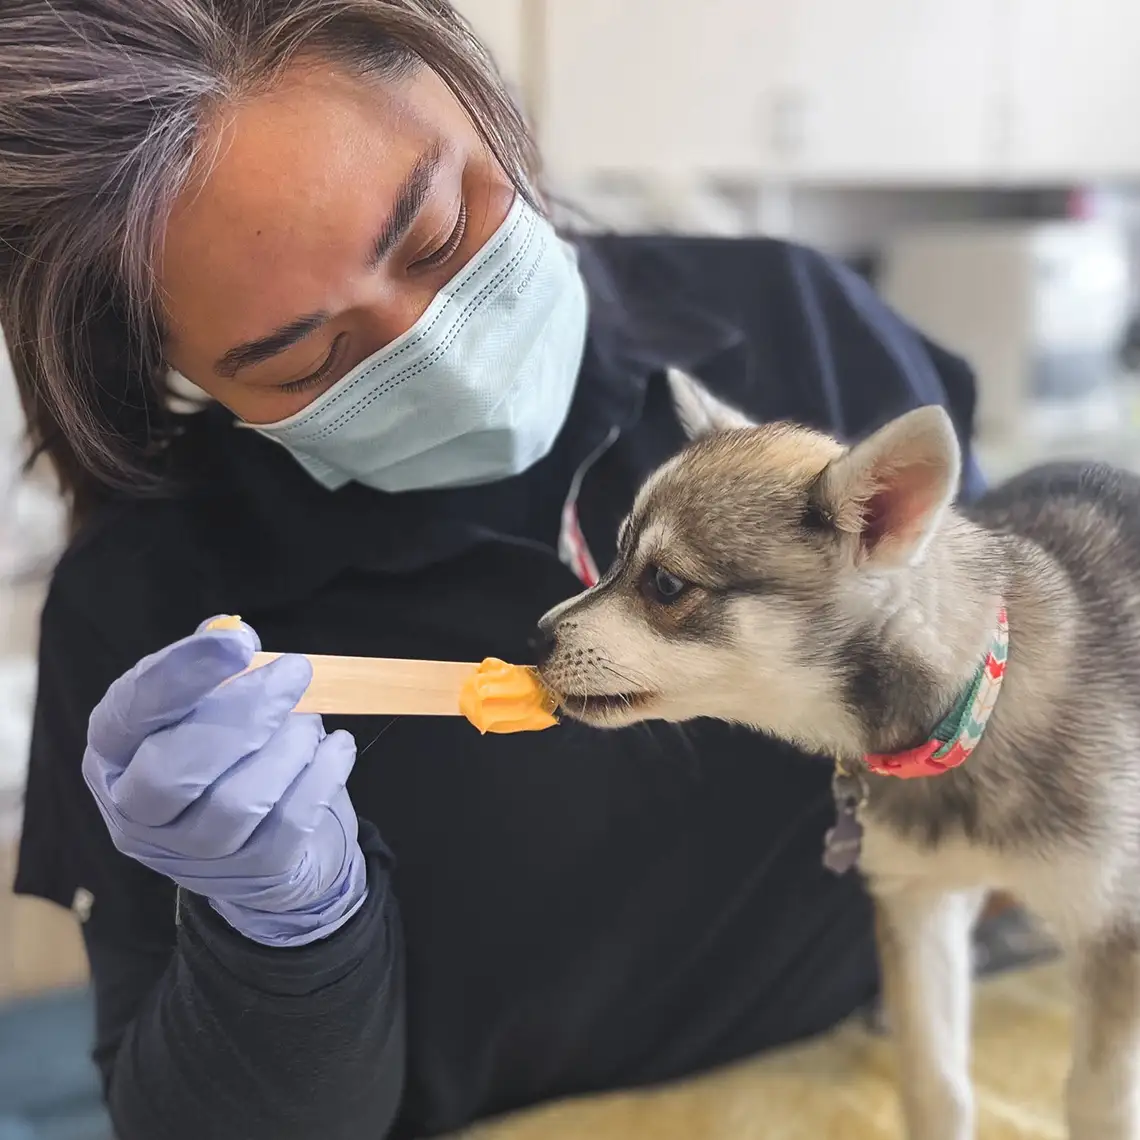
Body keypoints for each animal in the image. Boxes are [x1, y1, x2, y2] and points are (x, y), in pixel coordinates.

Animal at [538, 369, 1140, 1140]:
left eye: (665, 585)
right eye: (612, 559)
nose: (536, 636)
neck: (971, 717)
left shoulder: (1110, 925)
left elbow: (1097, 1101)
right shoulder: (916, 902)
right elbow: (936, 1084)